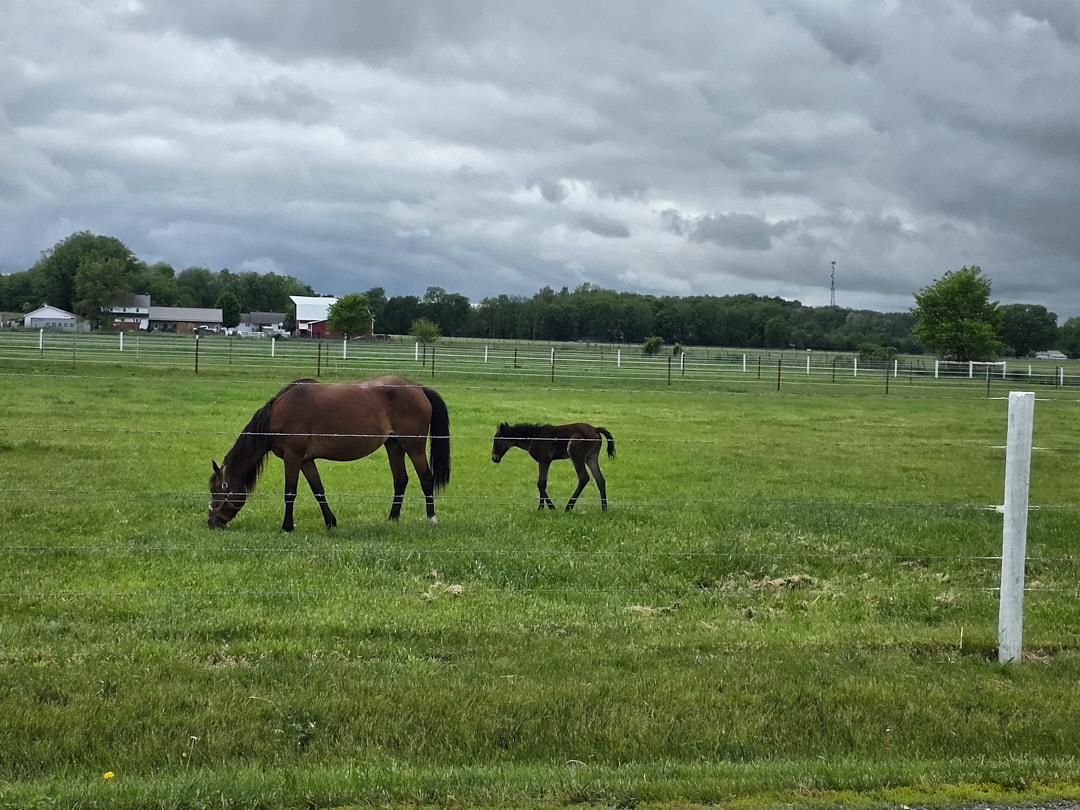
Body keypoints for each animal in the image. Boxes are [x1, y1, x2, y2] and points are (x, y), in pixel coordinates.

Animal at [208, 376, 451, 531]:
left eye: (216, 490)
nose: (211, 523)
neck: (277, 415)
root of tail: (419, 388)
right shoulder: (306, 460)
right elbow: (318, 490)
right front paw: (330, 522)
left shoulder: (293, 457)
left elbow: (290, 493)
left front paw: (287, 527)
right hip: (394, 445)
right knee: (400, 480)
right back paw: (392, 518)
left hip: (414, 446)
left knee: (426, 479)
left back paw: (431, 519)